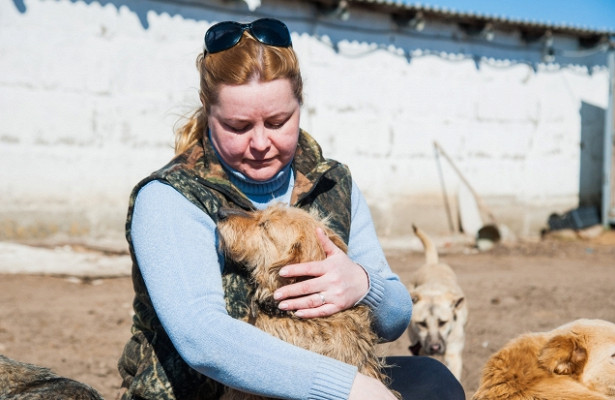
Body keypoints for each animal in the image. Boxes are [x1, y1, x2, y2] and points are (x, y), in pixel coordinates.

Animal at [406, 223, 470, 380]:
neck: (433, 291)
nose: (435, 348)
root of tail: (433, 263)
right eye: (422, 323)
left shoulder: (453, 354)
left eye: (443, 322)